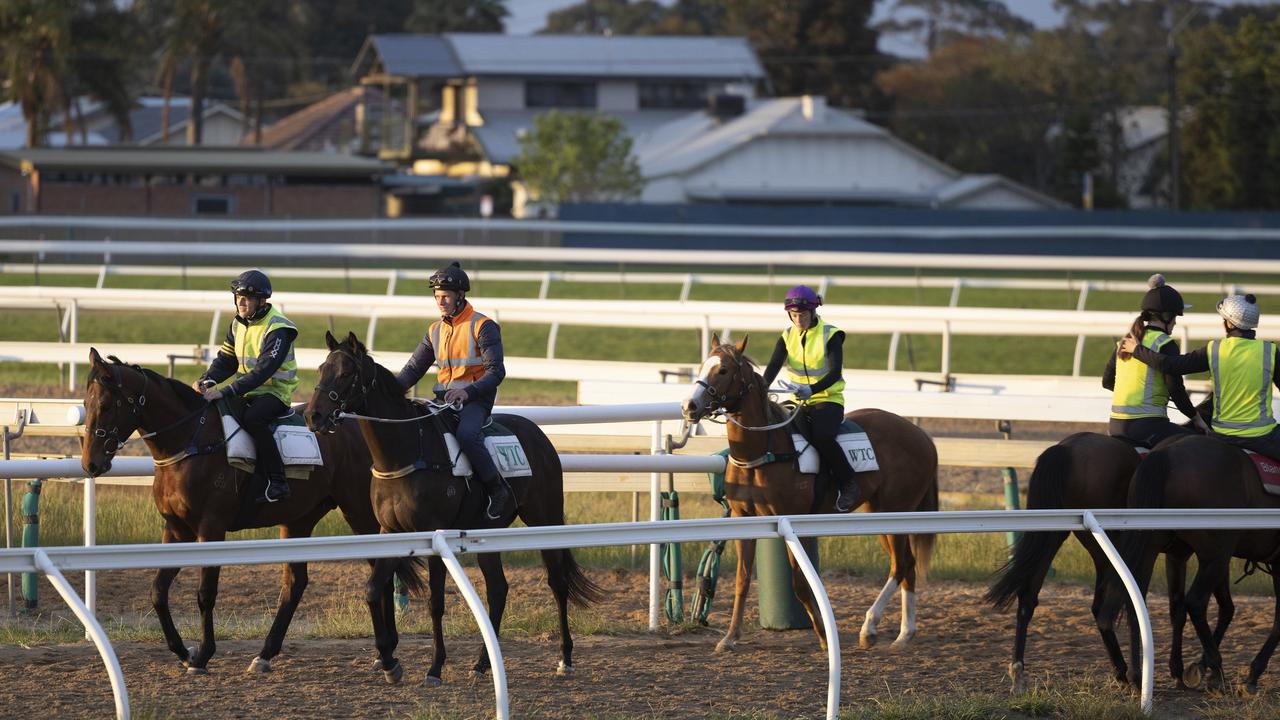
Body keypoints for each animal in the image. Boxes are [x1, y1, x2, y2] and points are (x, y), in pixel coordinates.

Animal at [76, 348, 378, 671]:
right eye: (85, 404)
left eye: (106, 405)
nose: (90, 464)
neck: (191, 441)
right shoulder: (176, 529)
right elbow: (158, 590)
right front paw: (183, 651)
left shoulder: (211, 528)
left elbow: (205, 593)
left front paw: (203, 654)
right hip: (299, 519)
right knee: (296, 583)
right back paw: (265, 653)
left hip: (359, 512)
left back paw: (381, 654)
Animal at [304, 330, 604, 681]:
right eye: (321, 368)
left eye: (346, 373)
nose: (313, 415)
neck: (406, 452)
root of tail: (539, 436)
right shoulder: (391, 531)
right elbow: (373, 589)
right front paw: (389, 661)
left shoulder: (433, 533)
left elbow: (435, 602)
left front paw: (434, 667)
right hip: (489, 530)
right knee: (498, 589)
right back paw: (482, 663)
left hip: (545, 519)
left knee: (558, 583)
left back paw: (565, 658)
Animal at [680, 335, 942, 650]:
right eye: (702, 366)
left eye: (723, 370)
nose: (689, 406)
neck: (764, 451)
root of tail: (922, 436)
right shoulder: (745, 519)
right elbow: (742, 580)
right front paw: (730, 637)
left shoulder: (791, 520)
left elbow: (801, 584)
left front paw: (823, 635)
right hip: (879, 514)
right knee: (907, 565)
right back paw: (904, 633)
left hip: (895, 511)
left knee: (900, 565)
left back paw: (870, 627)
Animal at [983, 427, 1233, 691]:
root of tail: (1066, 448)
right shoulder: (1197, 552)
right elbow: (1197, 605)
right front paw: (1194, 668)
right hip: (1108, 543)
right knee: (1110, 604)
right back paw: (1130, 673)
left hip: (1056, 533)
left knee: (1031, 596)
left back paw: (1021, 672)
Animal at [1100, 435, 1280, 691]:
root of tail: (1164, 454)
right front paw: (1251, 673)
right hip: (1215, 554)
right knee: (1195, 602)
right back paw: (1216, 671)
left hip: (1155, 546)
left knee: (1140, 599)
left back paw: (1139, 675)